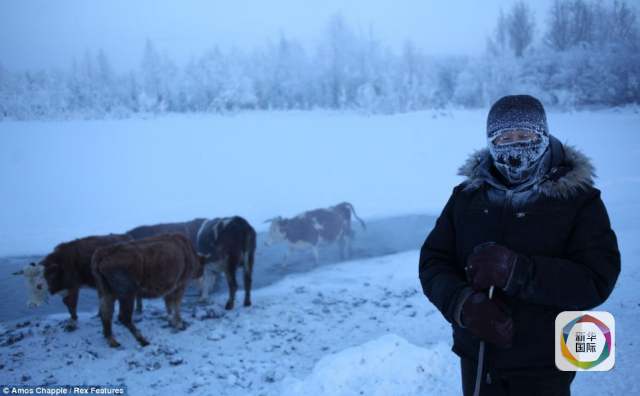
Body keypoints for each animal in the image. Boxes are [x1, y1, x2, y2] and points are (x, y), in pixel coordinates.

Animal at [13, 234, 141, 330]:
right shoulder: (65, 289)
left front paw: (73, 322)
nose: (31, 305)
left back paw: (138, 310)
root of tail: (128, 237)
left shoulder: (73, 287)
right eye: (26, 285)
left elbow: (72, 304)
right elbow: (67, 304)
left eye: (39, 285)